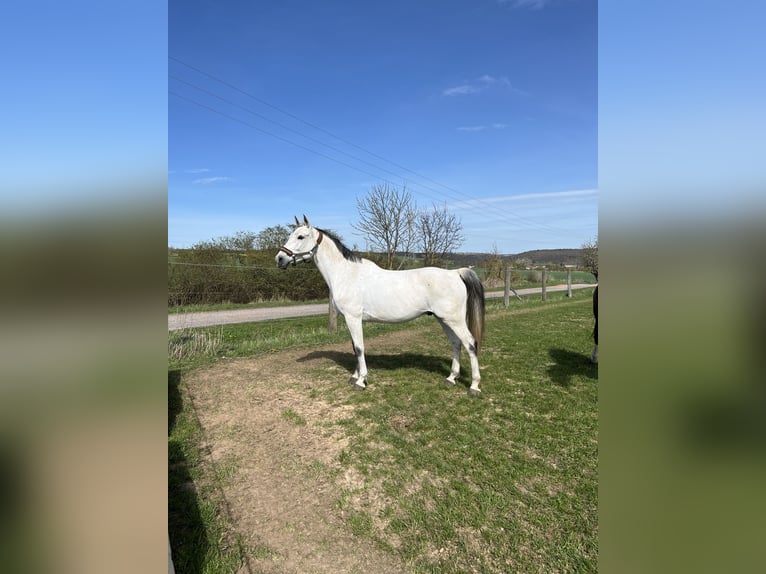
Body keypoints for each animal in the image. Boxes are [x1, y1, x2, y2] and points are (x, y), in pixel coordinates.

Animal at [276, 215, 486, 396]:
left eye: (300, 236)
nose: (279, 259)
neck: (346, 274)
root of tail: (455, 273)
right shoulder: (351, 319)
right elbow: (355, 347)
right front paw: (354, 376)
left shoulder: (353, 318)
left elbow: (359, 347)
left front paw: (361, 381)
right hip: (444, 319)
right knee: (456, 344)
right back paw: (451, 378)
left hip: (454, 320)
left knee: (470, 344)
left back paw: (474, 386)